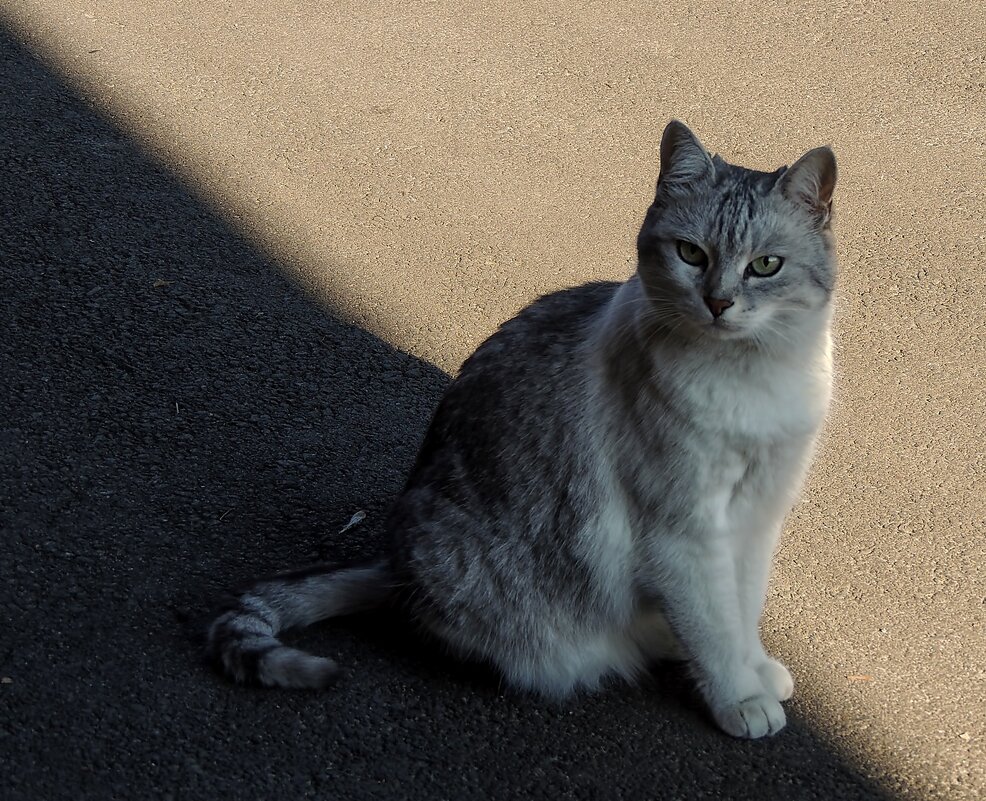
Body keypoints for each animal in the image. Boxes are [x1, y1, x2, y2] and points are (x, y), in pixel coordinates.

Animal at [204, 122, 836, 740]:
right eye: (690, 254)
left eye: (766, 266)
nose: (718, 302)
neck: (751, 375)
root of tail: (395, 566)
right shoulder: (684, 532)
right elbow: (714, 627)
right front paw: (739, 697)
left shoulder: (756, 517)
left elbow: (742, 610)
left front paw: (755, 670)